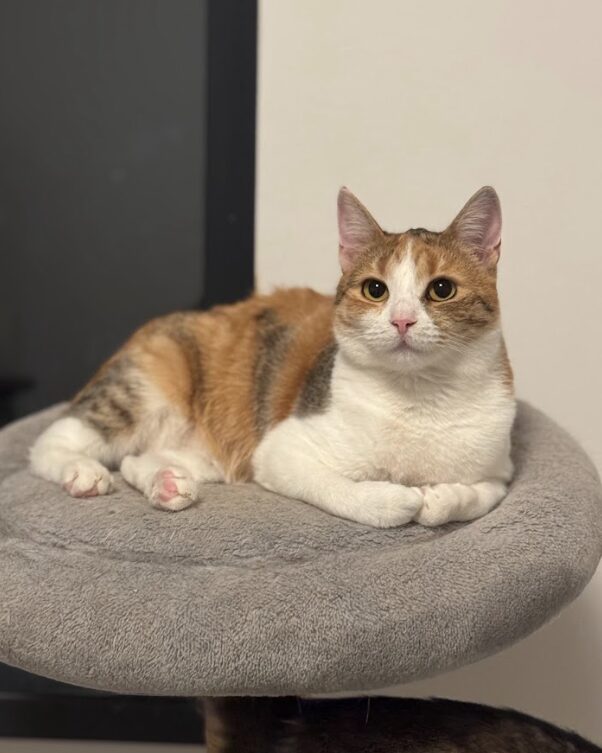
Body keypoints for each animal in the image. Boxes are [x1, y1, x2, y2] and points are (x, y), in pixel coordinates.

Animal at [29, 186, 515, 528]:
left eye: (442, 289)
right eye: (376, 290)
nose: (401, 321)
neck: (418, 400)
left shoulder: (501, 472)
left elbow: (477, 496)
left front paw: (441, 496)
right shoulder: (281, 450)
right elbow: (342, 489)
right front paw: (396, 498)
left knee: (135, 459)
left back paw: (166, 483)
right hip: (145, 390)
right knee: (50, 443)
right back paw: (82, 472)